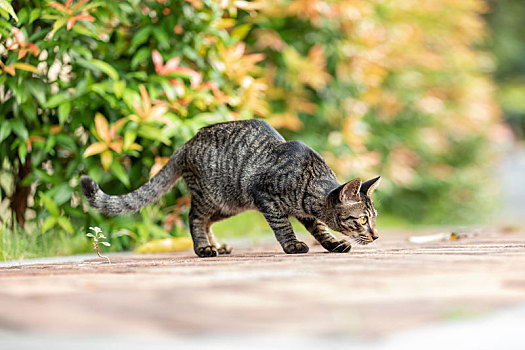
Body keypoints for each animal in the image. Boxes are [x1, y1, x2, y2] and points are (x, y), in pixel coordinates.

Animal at [80, 119, 378, 258]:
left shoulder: (305, 212)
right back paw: (204, 248)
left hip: (228, 204)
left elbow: (320, 228)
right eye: (363, 220)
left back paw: (216, 246)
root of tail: (187, 143)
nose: (376, 235)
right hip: (210, 196)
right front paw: (292, 244)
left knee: (206, 222)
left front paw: (333, 243)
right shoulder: (265, 196)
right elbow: (283, 225)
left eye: (374, 219)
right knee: (194, 218)